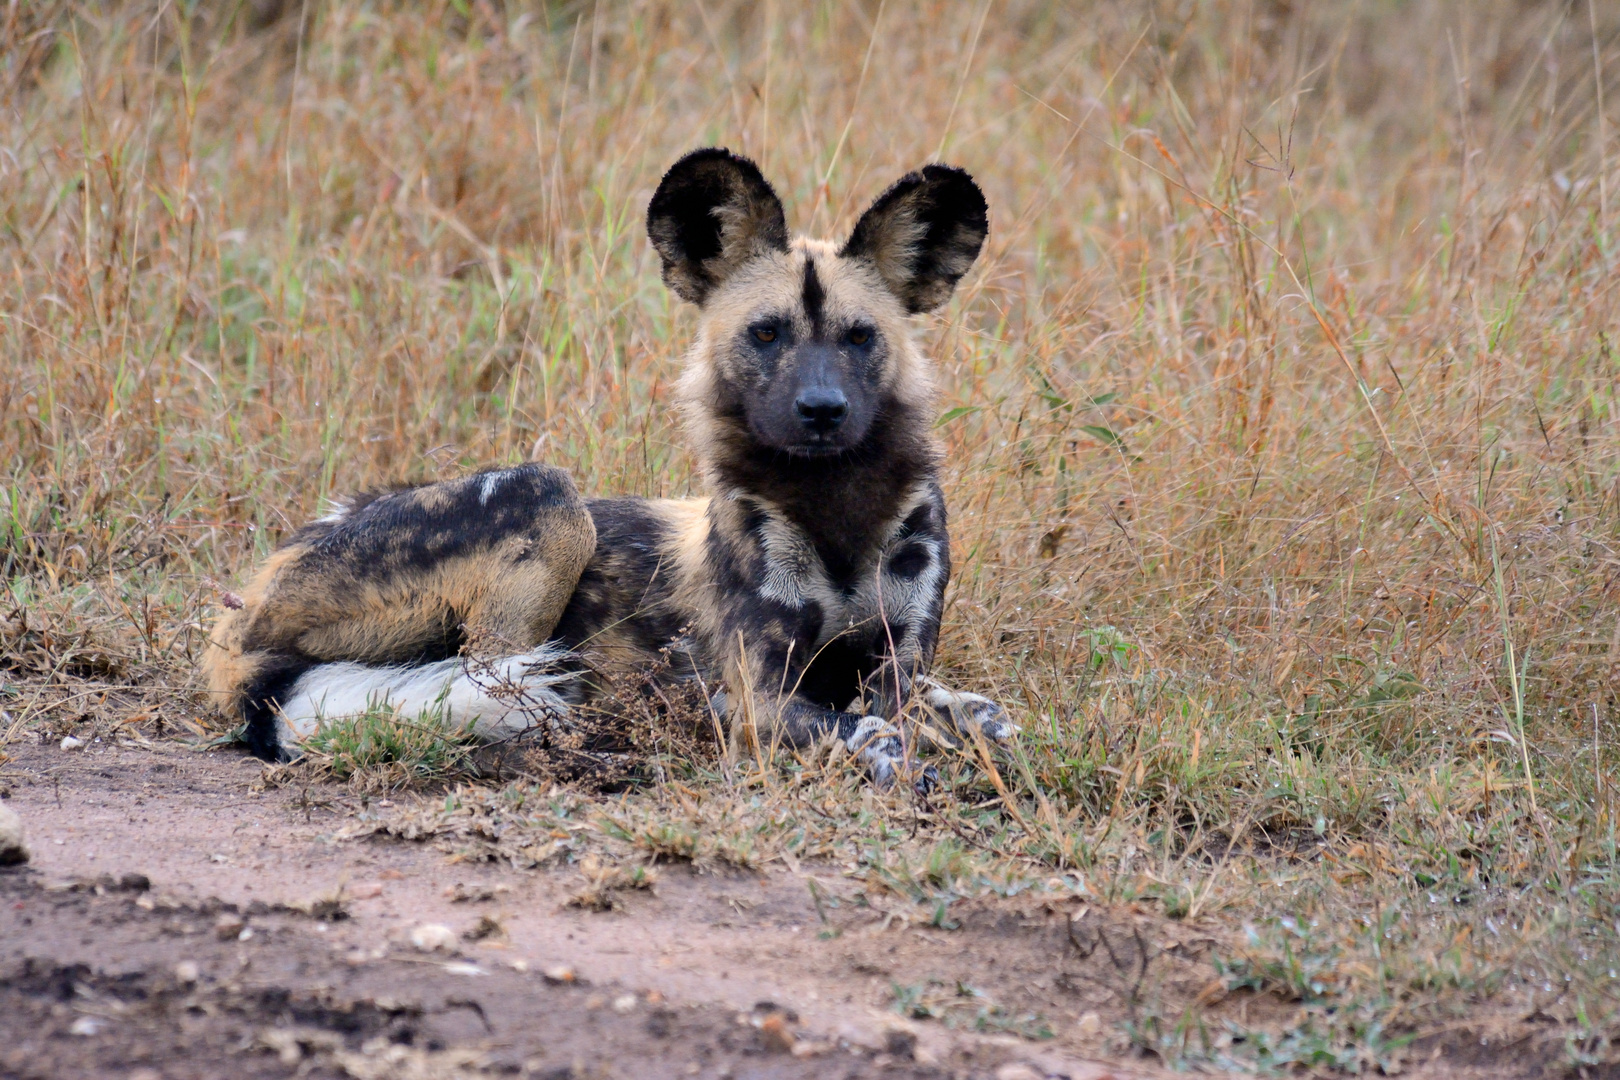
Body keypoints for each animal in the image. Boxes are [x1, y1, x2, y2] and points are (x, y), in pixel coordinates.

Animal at [202, 148, 1010, 786]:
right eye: (767, 333)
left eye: (859, 336)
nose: (821, 409)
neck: (836, 510)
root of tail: (248, 604)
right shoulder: (758, 698)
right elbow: (874, 732)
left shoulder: (899, 667)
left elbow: (950, 712)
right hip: (547, 503)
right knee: (496, 687)